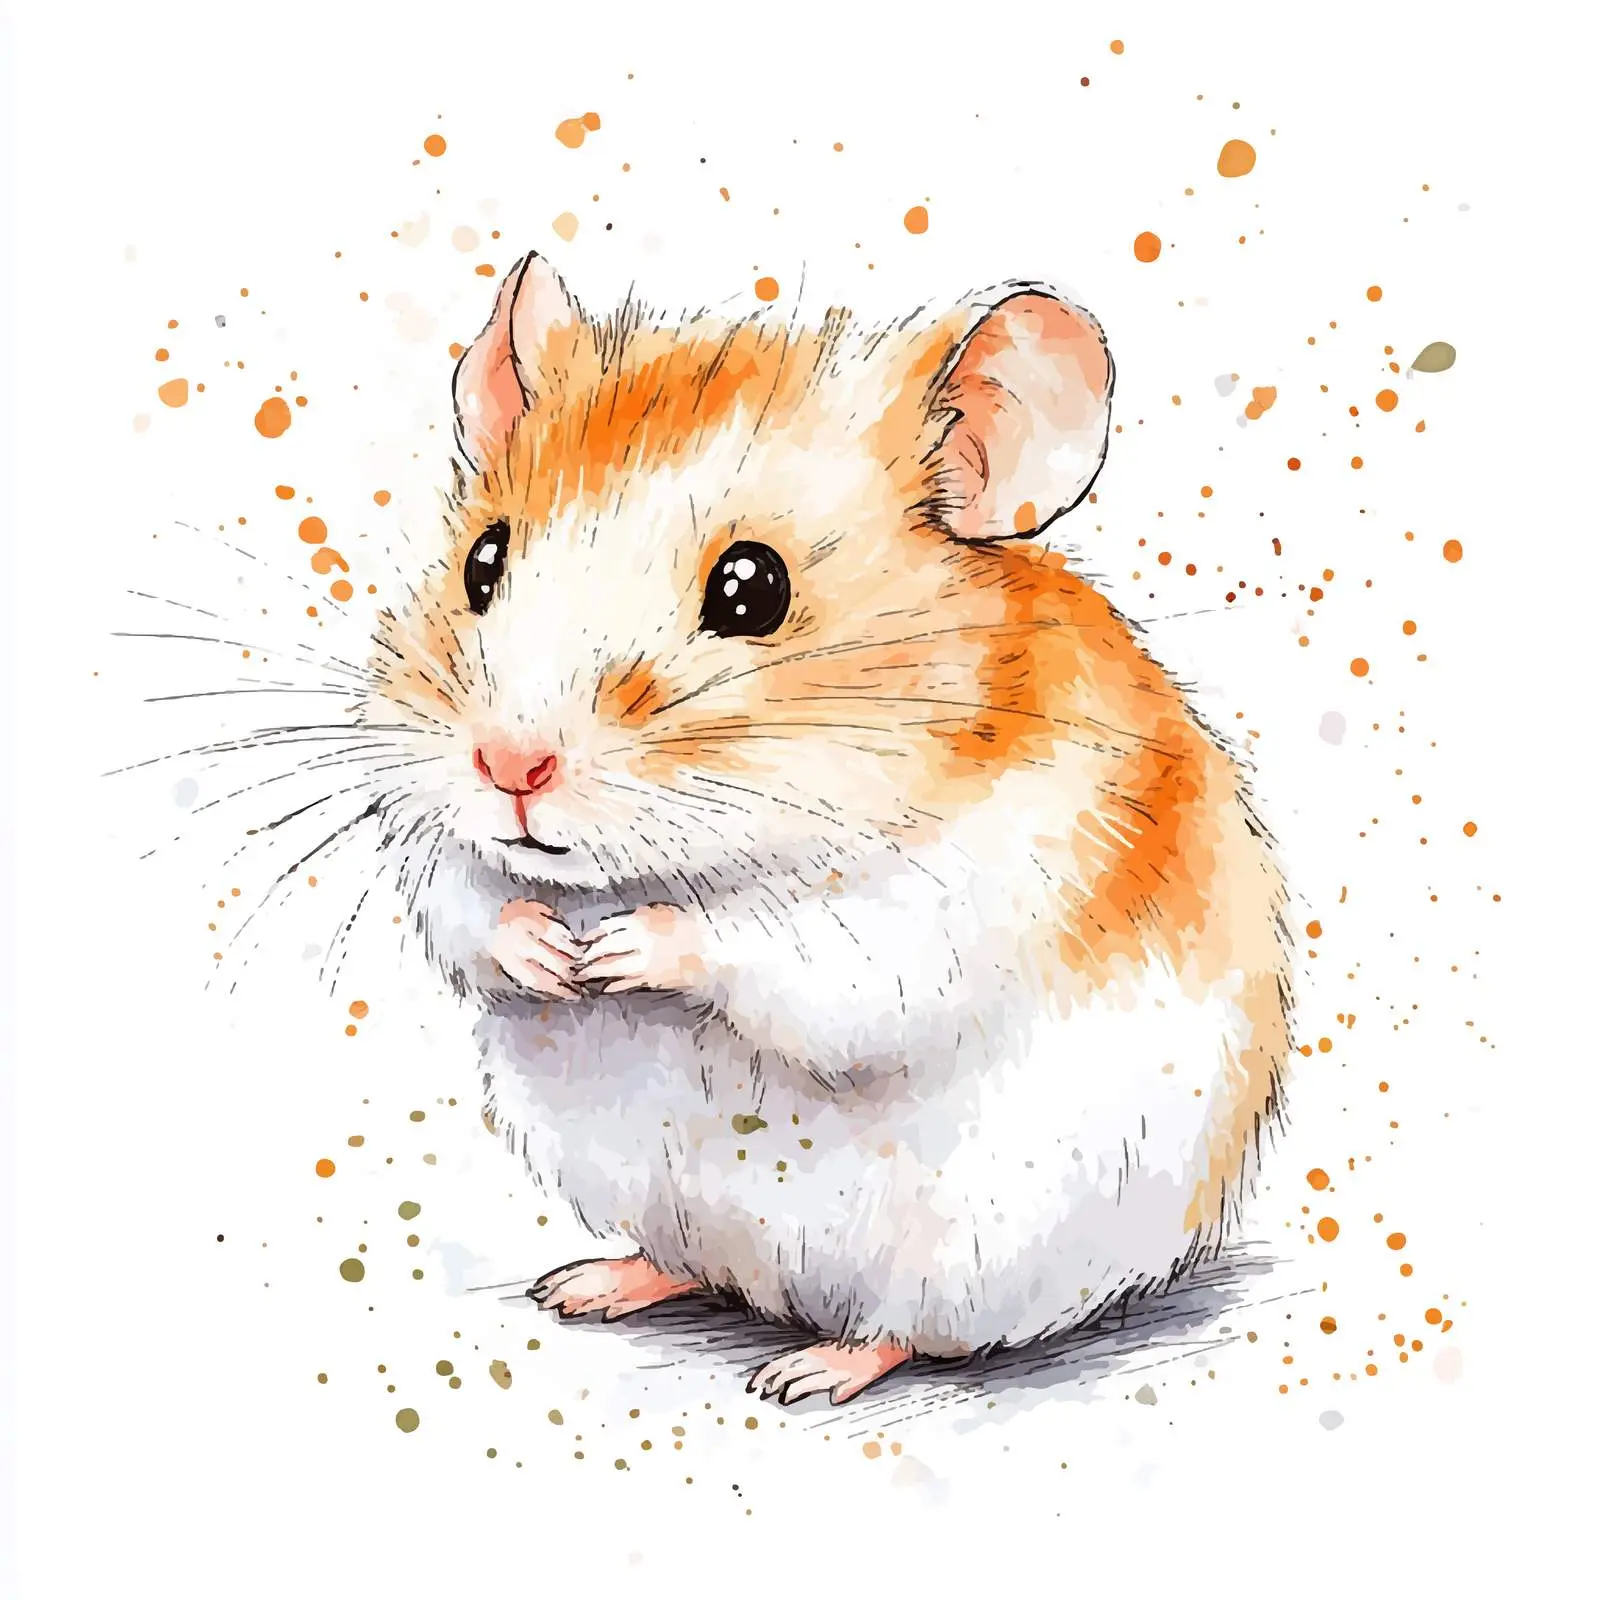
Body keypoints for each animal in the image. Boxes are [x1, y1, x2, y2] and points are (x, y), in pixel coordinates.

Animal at [368, 251, 1292, 1406]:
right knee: (686, 1261)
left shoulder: (935, 906)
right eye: (482, 563)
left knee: (906, 1331)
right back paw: (586, 1284)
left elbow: (787, 951)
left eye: (750, 589)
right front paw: (545, 949)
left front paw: (624, 949)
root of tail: (780, 1290)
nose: (509, 768)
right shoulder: (442, 846)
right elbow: (468, 908)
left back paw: (805, 1372)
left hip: (967, 1248)